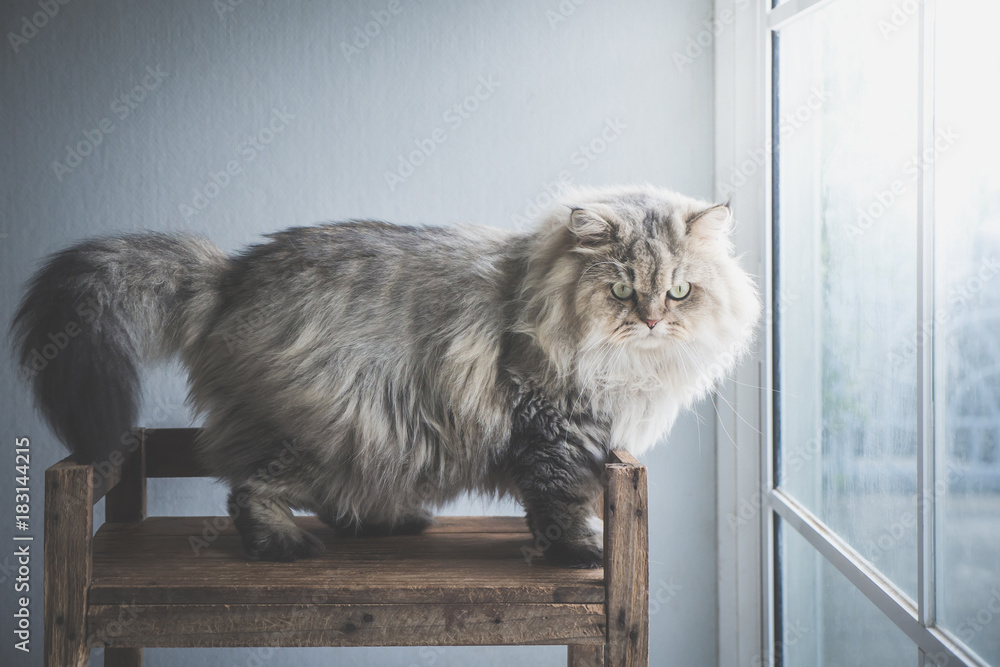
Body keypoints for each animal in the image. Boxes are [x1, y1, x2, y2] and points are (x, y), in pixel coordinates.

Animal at [9, 184, 756, 568]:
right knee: (249, 489)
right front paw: (578, 551)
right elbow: (561, 498)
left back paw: (389, 522)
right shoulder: (553, 426)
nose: (654, 320)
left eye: (681, 291)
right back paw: (282, 543)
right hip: (327, 424)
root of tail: (229, 276)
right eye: (623, 288)